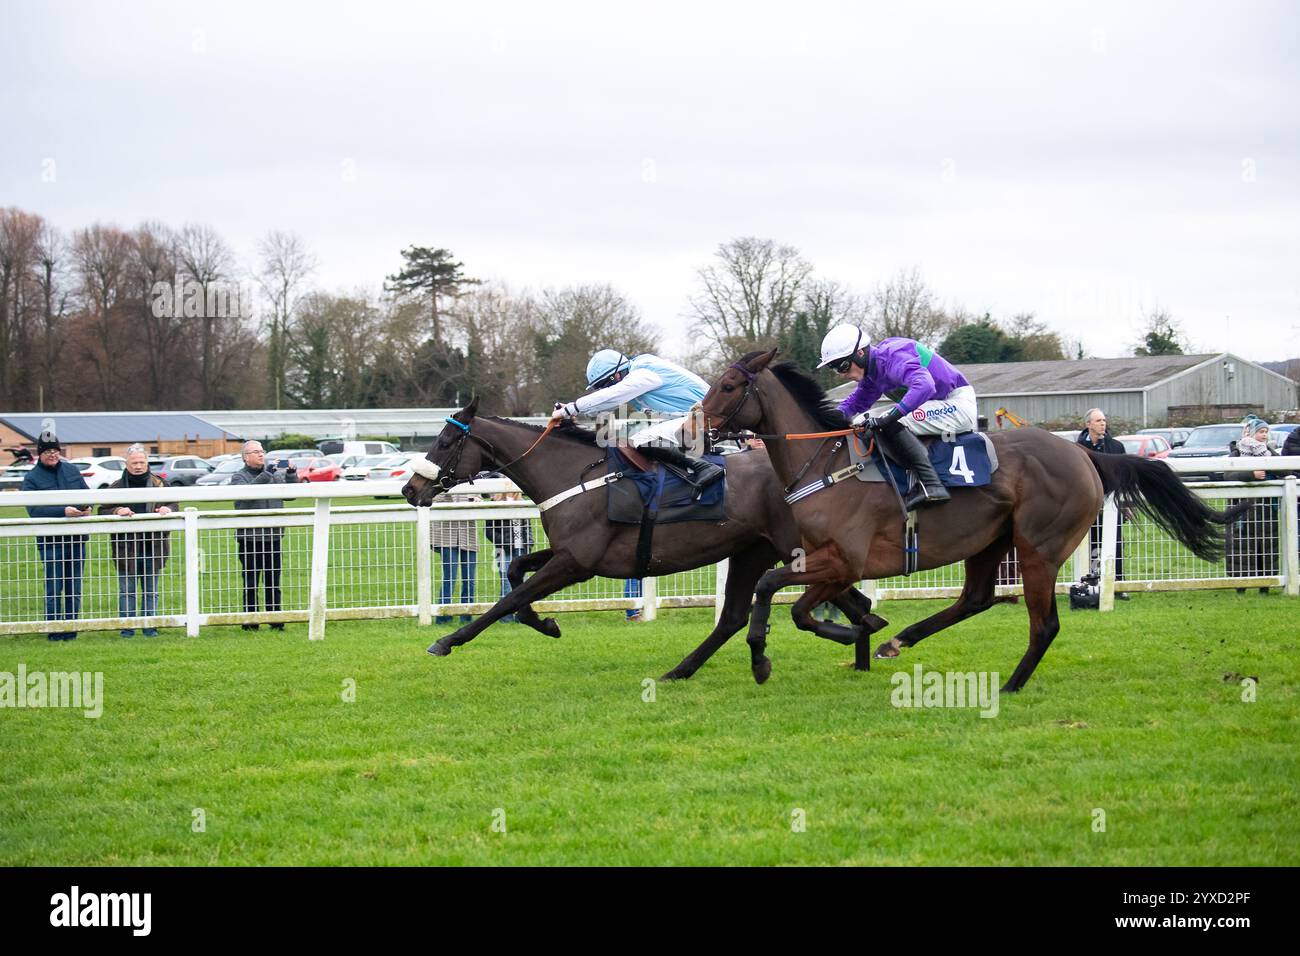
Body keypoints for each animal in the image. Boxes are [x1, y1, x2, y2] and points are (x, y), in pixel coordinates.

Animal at [397, 395, 883, 681]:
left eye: (444, 443)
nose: (410, 490)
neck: (570, 474)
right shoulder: (569, 554)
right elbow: (516, 571)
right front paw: (547, 623)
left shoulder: (576, 563)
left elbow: (507, 600)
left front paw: (447, 641)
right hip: (754, 551)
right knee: (749, 615)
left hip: (794, 550)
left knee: (848, 601)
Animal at [696, 348, 1242, 691]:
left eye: (728, 385)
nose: (694, 430)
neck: (827, 465)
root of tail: (1084, 453)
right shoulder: (822, 560)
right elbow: (780, 593)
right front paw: (856, 632)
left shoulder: (844, 561)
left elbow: (784, 598)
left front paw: (833, 639)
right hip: (990, 541)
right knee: (975, 599)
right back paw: (898, 641)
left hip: (1038, 548)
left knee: (1044, 625)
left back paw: (1012, 684)